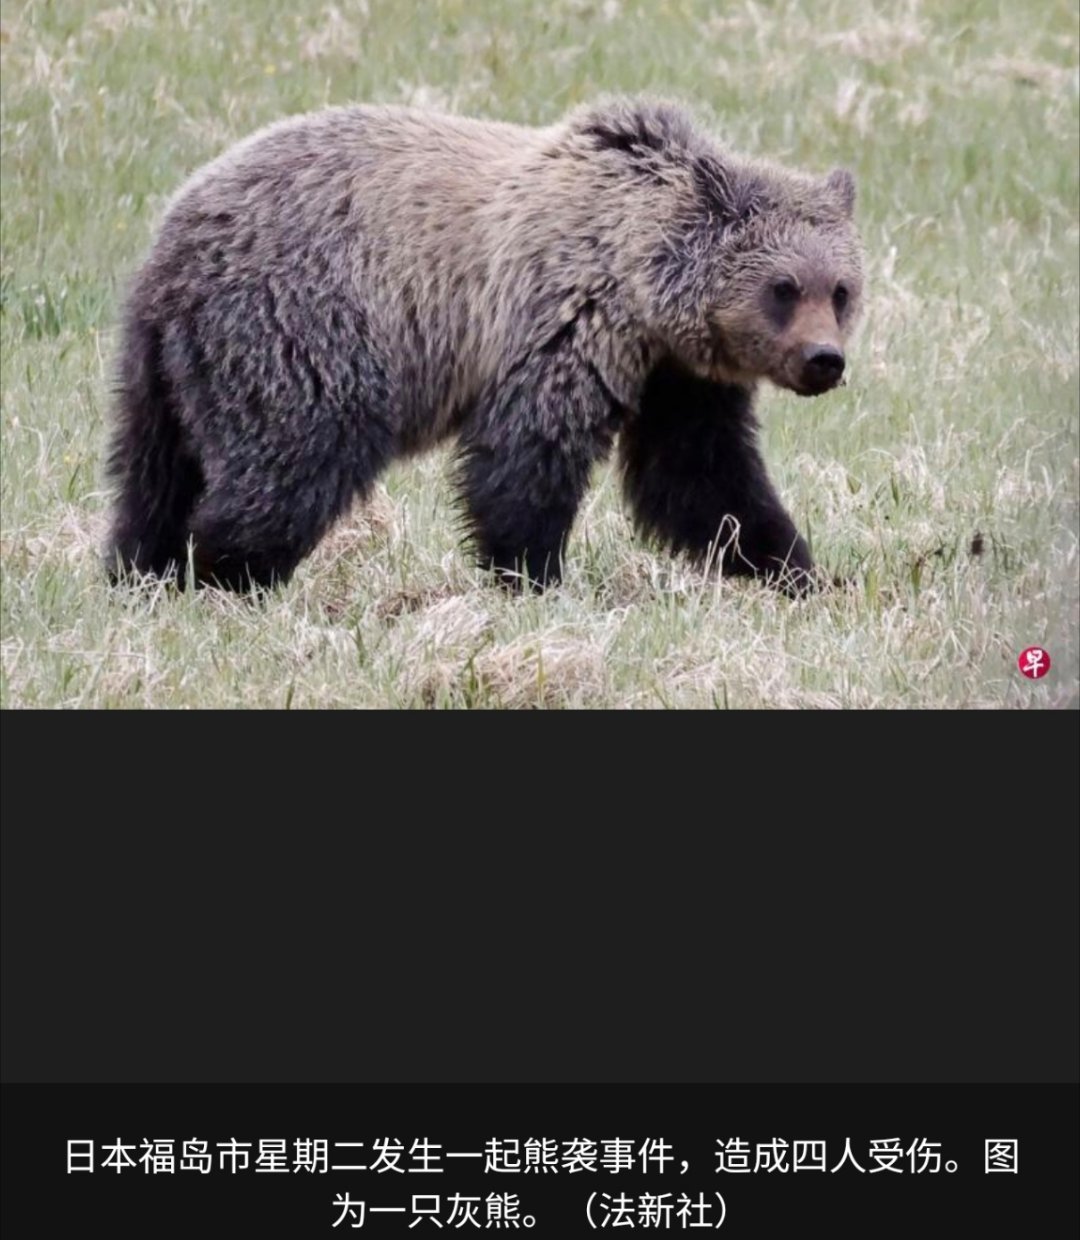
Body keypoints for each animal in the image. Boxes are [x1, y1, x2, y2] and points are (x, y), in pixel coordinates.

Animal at [105, 97, 863, 594]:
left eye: (841, 290)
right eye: (784, 288)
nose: (824, 361)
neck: (645, 287)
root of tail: (174, 243)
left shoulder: (677, 378)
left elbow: (701, 477)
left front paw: (795, 568)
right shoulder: (563, 323)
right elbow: (527, 456)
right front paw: (533, 573)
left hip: (167, 367)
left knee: (154, 472)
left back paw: (142, 567)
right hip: (302, 325)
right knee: (294, 457)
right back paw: (226, 571)